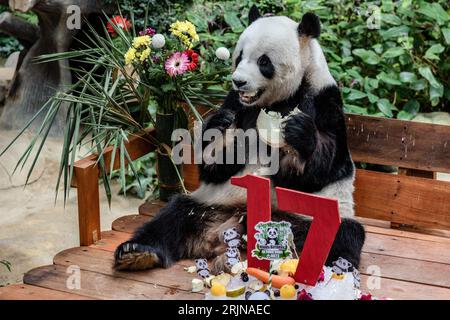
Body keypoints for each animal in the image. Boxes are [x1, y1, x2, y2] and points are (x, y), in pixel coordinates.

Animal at [113, 6, 366, 274]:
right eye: (240, 56)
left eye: (264, 62)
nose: (238, 81)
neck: (277, 101)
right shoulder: (236, 104)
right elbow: (215, 166)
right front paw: (221, 129)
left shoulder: (324, 99)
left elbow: (326, 168)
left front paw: (298, 133)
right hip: (207, 204)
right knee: (171, 217)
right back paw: (137, 253)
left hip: (315, 216)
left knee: (339, 236)